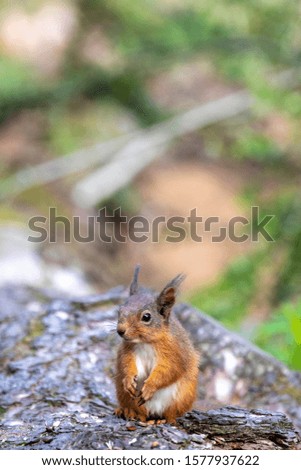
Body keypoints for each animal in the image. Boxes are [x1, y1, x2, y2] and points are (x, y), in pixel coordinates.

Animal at [113, 266, 198, 424]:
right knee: (139, 413)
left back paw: (163, 420)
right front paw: (128, 380)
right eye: (119, 311)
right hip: (126, 396)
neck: (145, 342)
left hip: (181, 397)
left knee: (171, 415)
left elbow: (168, 370)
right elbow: (128, 364)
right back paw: (127, 412)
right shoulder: (129, 351)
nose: (120, 331)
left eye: (146, 317)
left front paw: (150, 387)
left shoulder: (174, 353)